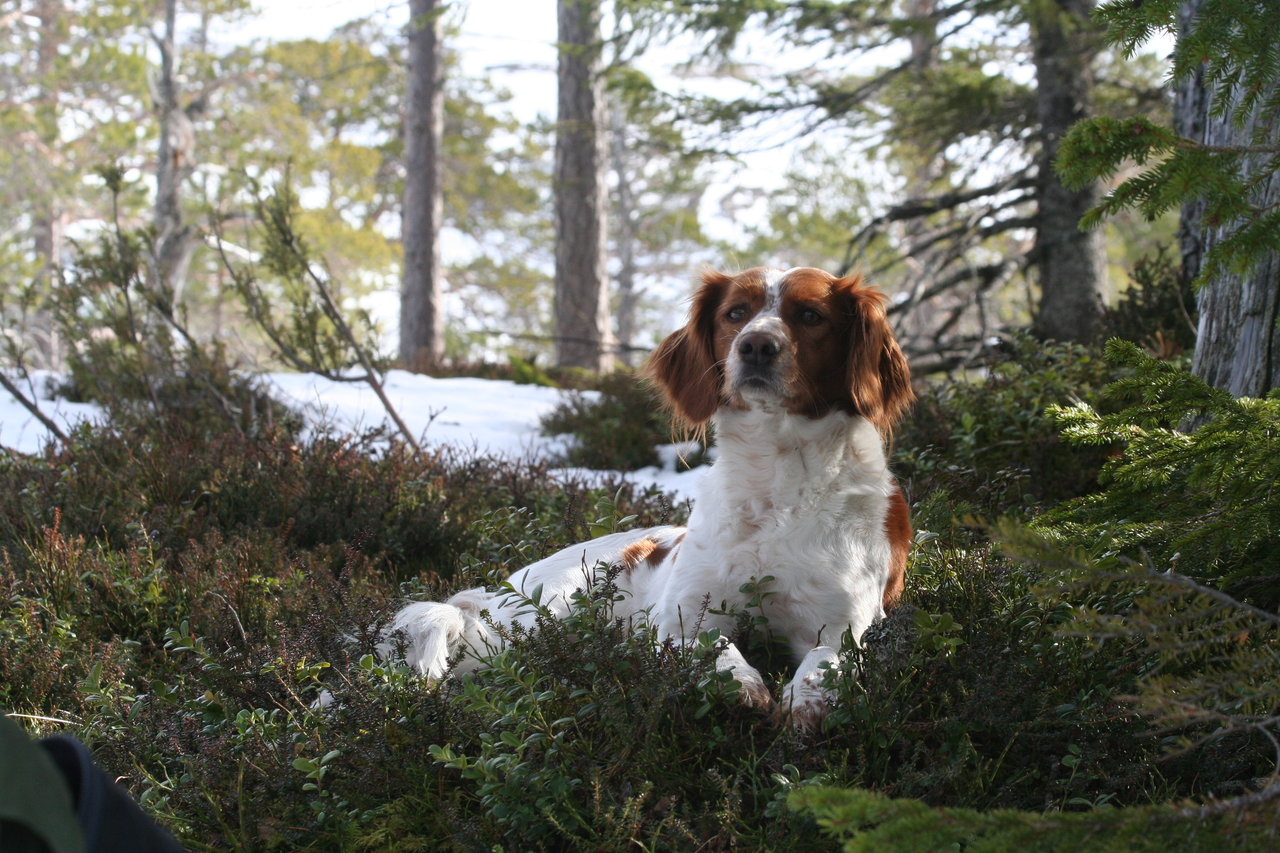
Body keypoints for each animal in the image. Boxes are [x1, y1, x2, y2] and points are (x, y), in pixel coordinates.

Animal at [391, 267, 914, 728]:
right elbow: (710, 646)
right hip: (539, 621)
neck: (775, 483)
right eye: (735, 313)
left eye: (810, 316)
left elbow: (825, 659)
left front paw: (804, 703)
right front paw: (740, 685)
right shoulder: (681, 616)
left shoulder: (840, 627)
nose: (756, 346)